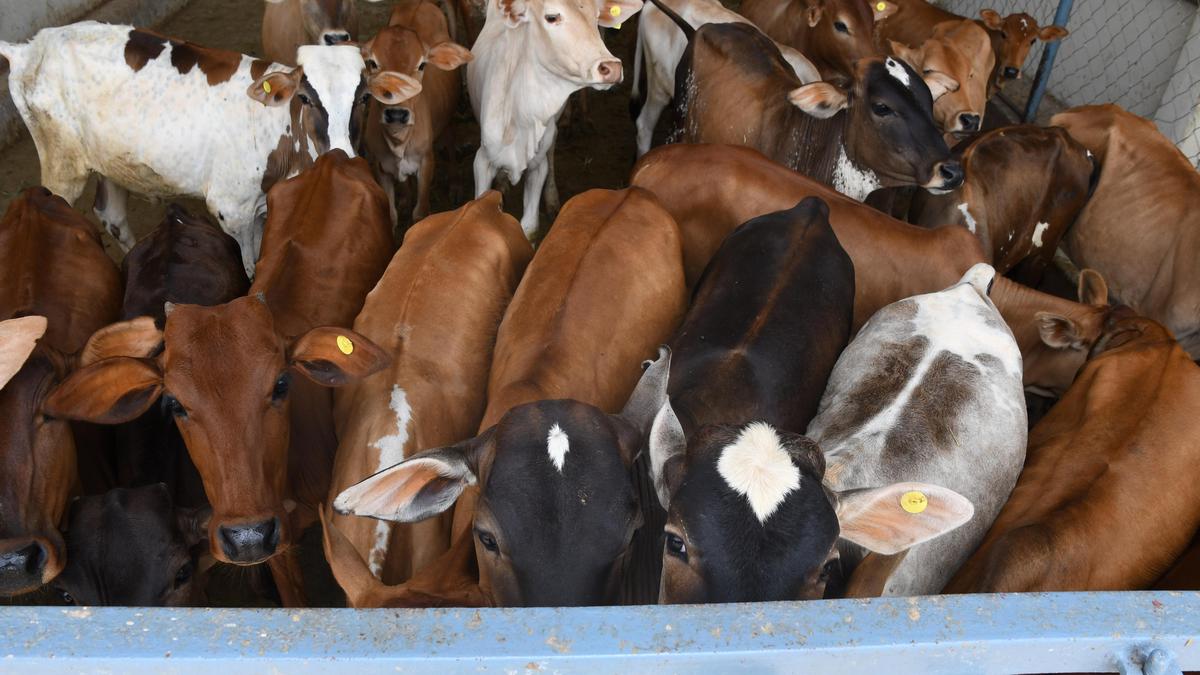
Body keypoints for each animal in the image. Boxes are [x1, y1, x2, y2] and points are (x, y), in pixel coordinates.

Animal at [0, 23, 416, 272]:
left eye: (364, 98)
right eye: (304, 97)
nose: (341, 154)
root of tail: (31, 46)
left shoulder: (263, 207)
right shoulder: (231, 208)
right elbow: (248, 266)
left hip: (109, 161)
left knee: (111, 214)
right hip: (62, 164)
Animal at [360, 1, 473, 226]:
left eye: (422, 65)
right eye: (373, 63)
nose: (396, 114)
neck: (398, 141)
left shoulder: (426, 162)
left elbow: (420, 213)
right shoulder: (381, 167)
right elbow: (391, 215)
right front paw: (403, 202)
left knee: (450, 139)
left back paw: (455, 184)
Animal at [468, 0, 644, 239]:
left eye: (597, 16)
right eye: (551, 17)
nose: (612, 68)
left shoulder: (537, 164)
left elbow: (530, 227)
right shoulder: (482, 160)